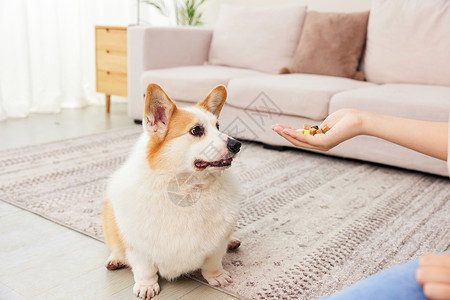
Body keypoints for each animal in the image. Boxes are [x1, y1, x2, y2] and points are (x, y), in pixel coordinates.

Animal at [102, 83, 243, 298]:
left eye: (218, 126)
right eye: (196, 130)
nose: (237, 144)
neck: (186, 188)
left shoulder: (216, 245)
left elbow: (212, 261)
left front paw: (217, 276)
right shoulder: (138, 247)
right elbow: (144, 268)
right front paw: (146, 286)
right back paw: (115, 259)